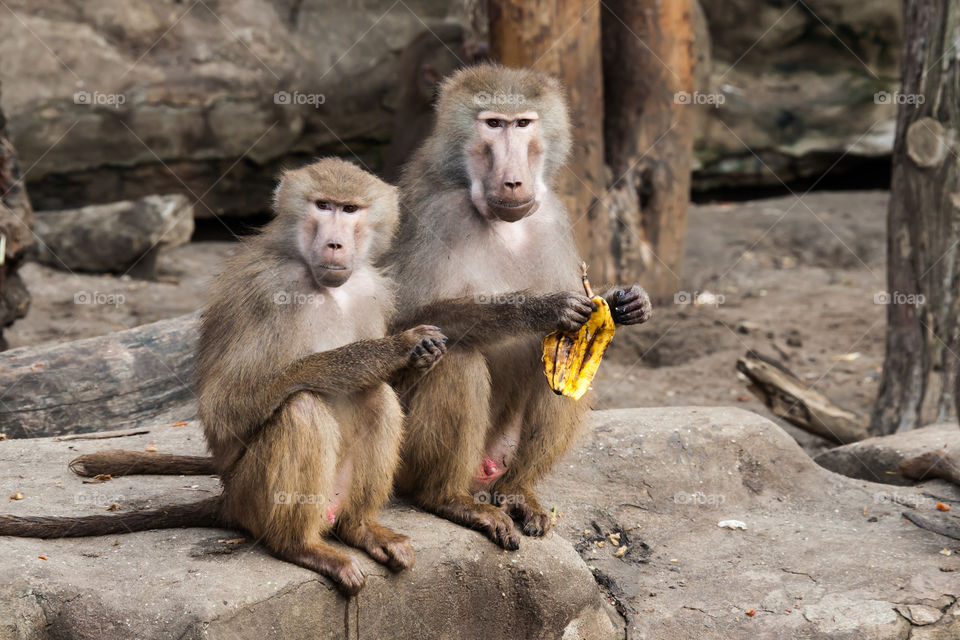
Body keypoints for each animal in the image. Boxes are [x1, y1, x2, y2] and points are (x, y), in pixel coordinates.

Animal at [0, 158, 448, 595]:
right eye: (323, 205)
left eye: (350, 209)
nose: (335, 244)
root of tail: (228, 500)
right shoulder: (268, 288)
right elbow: (225, 406)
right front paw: (397, 348)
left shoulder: (373, 289)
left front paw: (420, 356)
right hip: (253, 495)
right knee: (302, 407)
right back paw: (300, 546)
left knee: (376, 399)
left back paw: (360, 528)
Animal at [382, 64, 652, 550]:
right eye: (493, 124)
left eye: (523, 123)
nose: (513, 181)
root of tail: (481, 474)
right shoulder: (436, 214)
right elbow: (406, 325)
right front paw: (543, 308)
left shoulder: (552, 215)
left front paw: (625, 302)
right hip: (404, 459)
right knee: (457, 357)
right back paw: (450, 500)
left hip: (502, 451)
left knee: (564, 369)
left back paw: (517, 493)